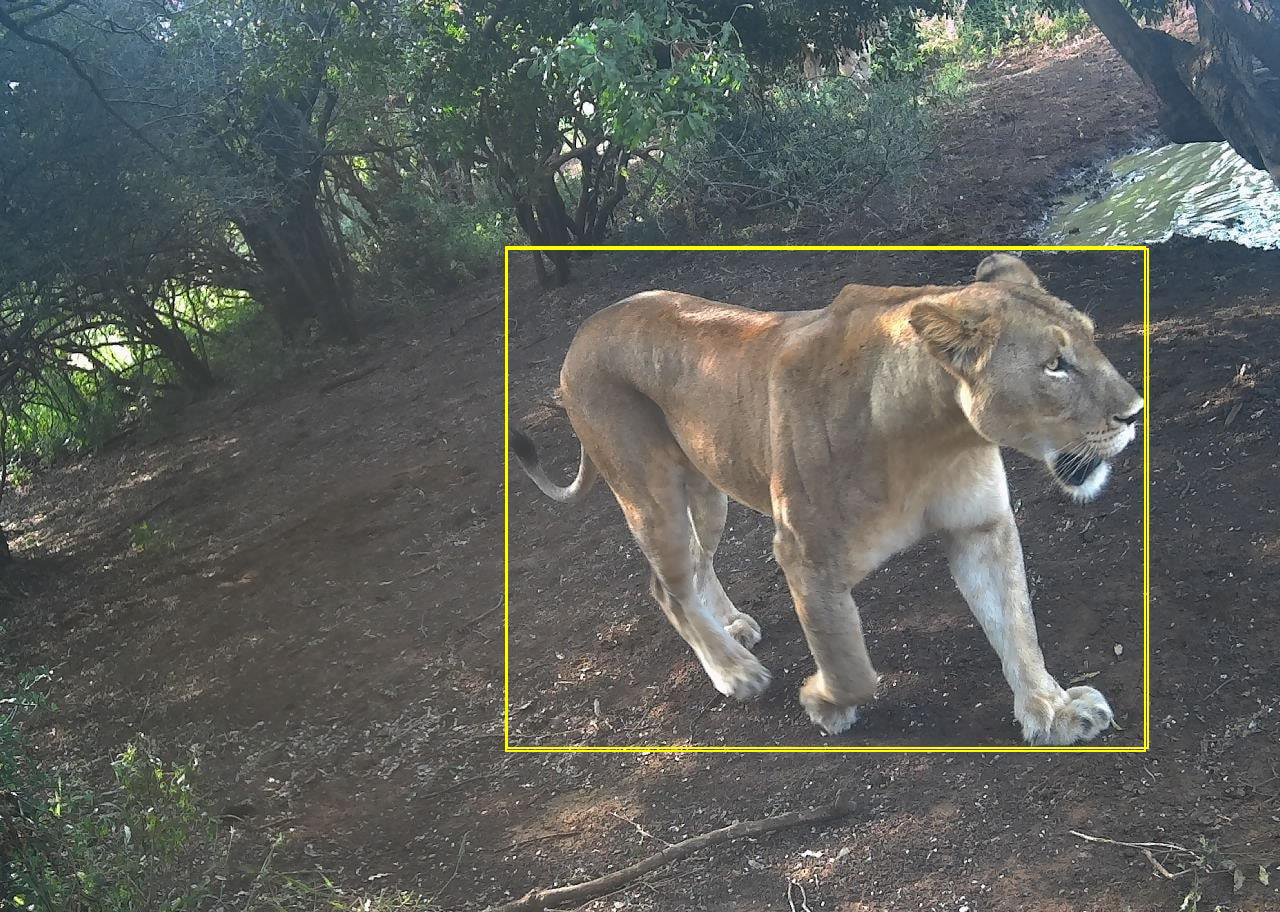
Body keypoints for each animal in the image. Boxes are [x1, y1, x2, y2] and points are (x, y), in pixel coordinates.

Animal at [511, 254, 1142, 745]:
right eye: (1054, 366)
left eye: (1092, 339)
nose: (1134, 414)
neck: (939, 435)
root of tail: (584, 331)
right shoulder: (805, 557)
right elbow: (849, 661)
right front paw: (824, 701)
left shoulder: (981, 528)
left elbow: (1016, 624)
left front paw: (1053, 712)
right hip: (651, 494)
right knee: (666, 587)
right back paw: (734, 672)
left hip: (708, 488)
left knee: (695, 566)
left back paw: (731, 626)